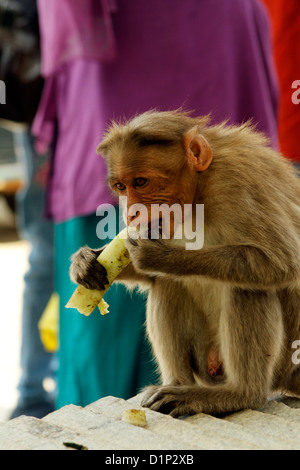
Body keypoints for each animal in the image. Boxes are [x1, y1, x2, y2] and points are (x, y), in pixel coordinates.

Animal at [69, 111, 300, 418]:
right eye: (120, 187)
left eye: (140, 182)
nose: (131, 213)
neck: (198, 195)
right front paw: (85, 262)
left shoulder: (237, 182)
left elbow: (281, 262)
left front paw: (160, 256)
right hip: (206, 361)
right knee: (167, 283)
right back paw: (179, 384)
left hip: (283, 359)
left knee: (248, 288)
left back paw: (240, 394)